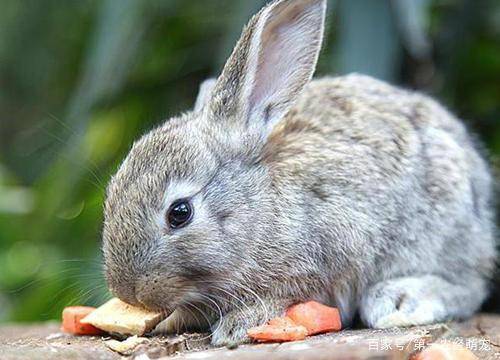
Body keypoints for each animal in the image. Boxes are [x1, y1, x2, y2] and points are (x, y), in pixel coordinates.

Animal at [101, 0, 496, 344]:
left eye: (179, 213)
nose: (129, 292)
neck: (259, 210)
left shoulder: (333, 252)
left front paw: (238, 325)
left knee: (469, 287)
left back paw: (402, 299)